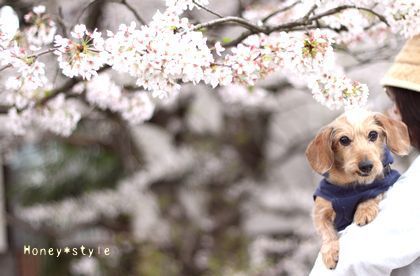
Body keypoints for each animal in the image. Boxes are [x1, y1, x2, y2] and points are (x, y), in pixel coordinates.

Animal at [306, 109, 410, 268]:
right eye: (344, 140)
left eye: (373, 134)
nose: (366, 166)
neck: (350, 187)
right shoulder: (320, 211)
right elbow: (326, 232)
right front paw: (330, 252)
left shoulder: (383, 183)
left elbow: (371, 194)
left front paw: (364, 211)